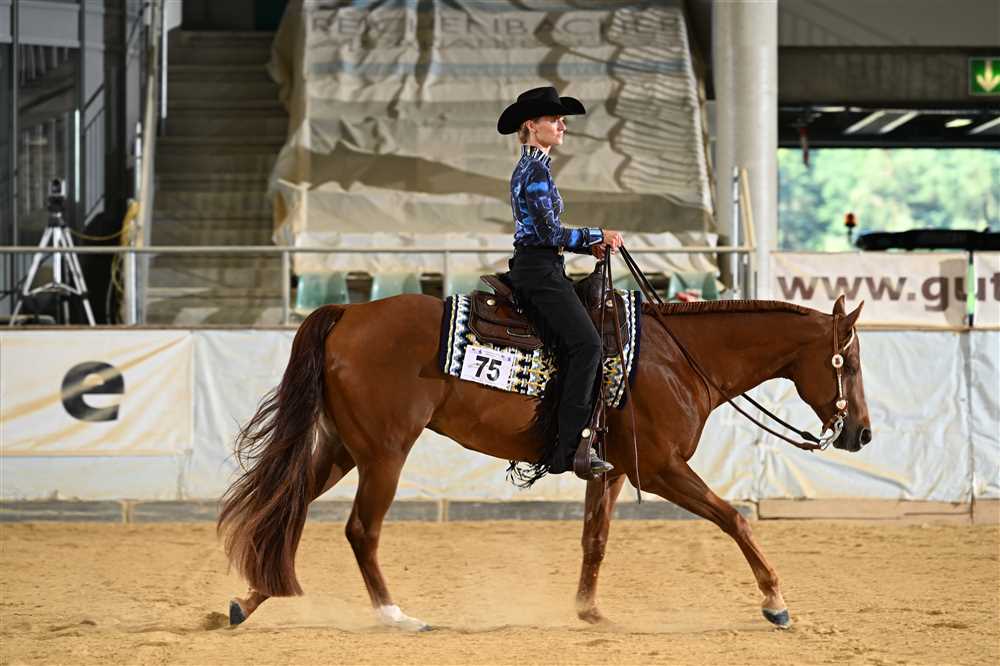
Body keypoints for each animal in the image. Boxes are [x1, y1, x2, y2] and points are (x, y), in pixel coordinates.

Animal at [218, 290, 870, 631]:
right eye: (851, 361)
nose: (861, 434)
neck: (676, 357)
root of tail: (348, 313)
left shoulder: (613, 469)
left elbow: (595, 539)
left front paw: (588, 610)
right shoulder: (662, 469)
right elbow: (734, 517)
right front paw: (775, 602)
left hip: (341, 448)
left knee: (288, 507)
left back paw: (250, 599)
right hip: (384, 453)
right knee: (360, 530)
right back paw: (394, 614)